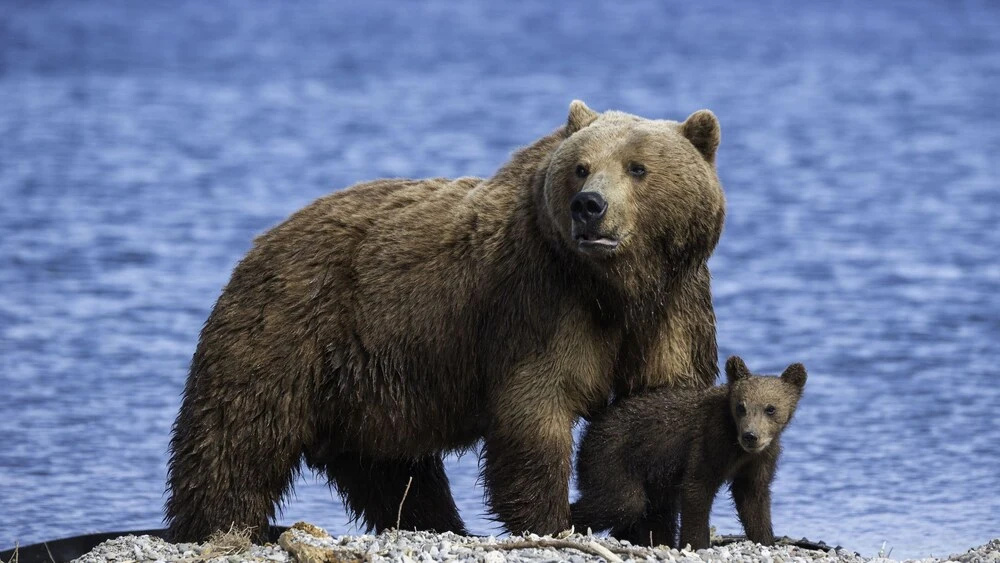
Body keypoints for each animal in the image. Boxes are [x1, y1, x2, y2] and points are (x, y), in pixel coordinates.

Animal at [165, 100, 727, 541]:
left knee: (390, 470)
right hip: (287, 330)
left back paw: (437, 524)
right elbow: (537, 406)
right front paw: (551, 520)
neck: (616, 286)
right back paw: (218, 525)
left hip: (368, 386)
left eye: (637, 167)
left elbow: (658, 405)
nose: (589, 206)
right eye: (581, 167)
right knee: (237, 437)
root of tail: (262, 242)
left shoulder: (675, 304)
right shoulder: (539, 302)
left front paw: (651, 524)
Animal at [571, 356, 807, 550]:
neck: (737, 449)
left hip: (653, 476)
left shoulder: (759, 459)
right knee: (621, 501)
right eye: (741, 407)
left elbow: (753, 498)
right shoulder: (710, 442)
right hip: (611, 455)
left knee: (655, 511)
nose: (750, 436)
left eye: (770, 408)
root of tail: (594, 423)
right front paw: (696, 544)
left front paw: (765, 539)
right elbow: (697, 489)